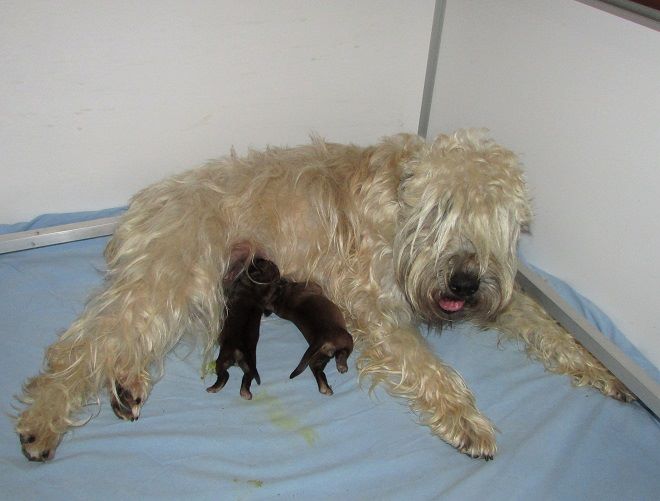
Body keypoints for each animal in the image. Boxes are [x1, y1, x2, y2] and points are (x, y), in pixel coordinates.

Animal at [206, 258, 278, 398]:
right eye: (269, 263)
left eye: (261, 262)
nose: (258, 257)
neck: (254, 288)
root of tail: (239, 351)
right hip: (249, 366)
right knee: (247, 378)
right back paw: (246, 393)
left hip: (223, 359)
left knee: (224, 375)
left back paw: (213, 388)